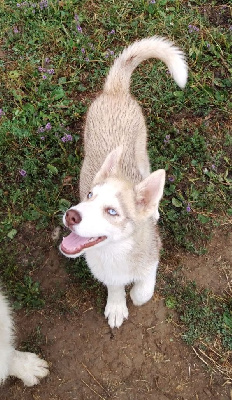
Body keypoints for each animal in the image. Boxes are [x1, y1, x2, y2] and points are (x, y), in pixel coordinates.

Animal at [59, 35, 187, 328]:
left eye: (112, 211)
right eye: (89, 196)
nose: (71, 215)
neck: (115, 252)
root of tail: (115, 91)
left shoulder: (153, 256)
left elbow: (144, 289)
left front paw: (137, 294)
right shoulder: (105, 272)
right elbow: (115, 286)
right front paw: (117, 305)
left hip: (143, 155)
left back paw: (155, 208)